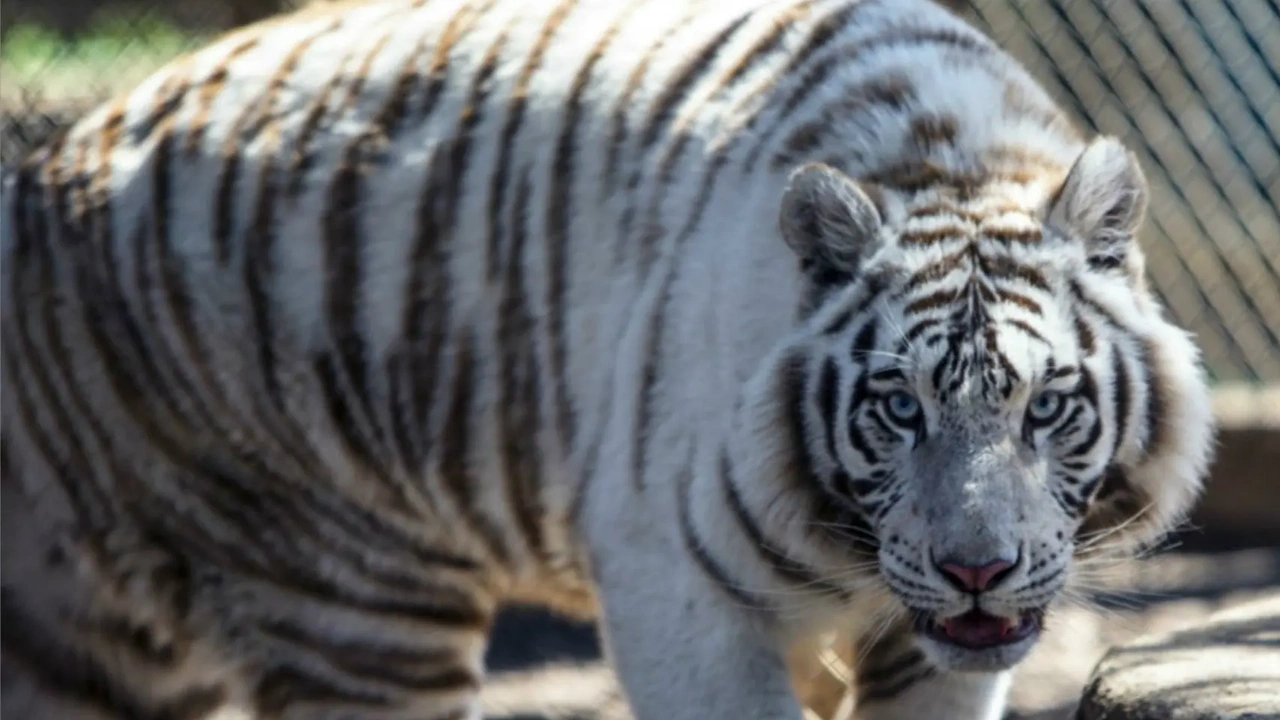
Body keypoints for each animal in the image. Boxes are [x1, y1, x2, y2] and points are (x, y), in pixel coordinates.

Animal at [0, 0, 1217, 718]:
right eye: (898, 409)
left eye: (1045, 406)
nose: (976, 570)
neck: (952, 167)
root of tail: (54, 172)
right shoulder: (677, 593)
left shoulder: (933, 655)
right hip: (350, 593)